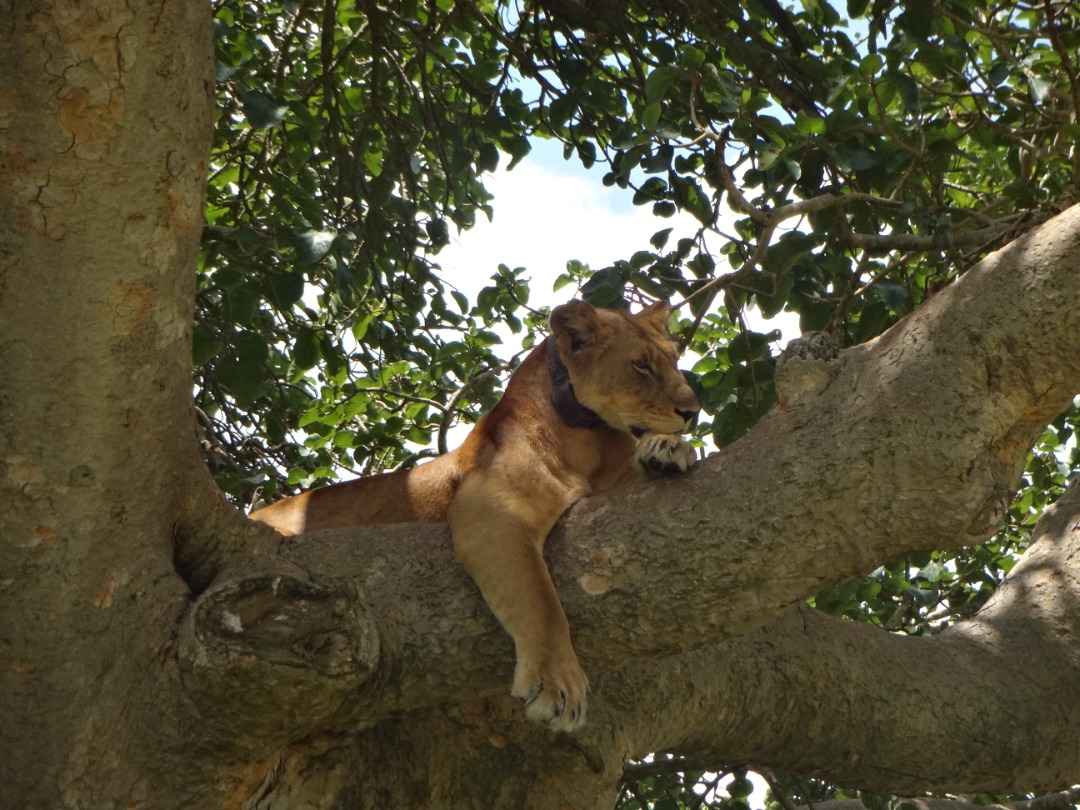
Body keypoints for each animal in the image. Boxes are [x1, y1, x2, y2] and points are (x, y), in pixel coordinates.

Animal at [250, 299, 700, 731]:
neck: (591, 439)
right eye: (641, 364)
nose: (693, 411)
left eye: (673, 360)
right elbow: (541, 601)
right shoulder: (492, 511)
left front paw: (667, 450)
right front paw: (558, 686)